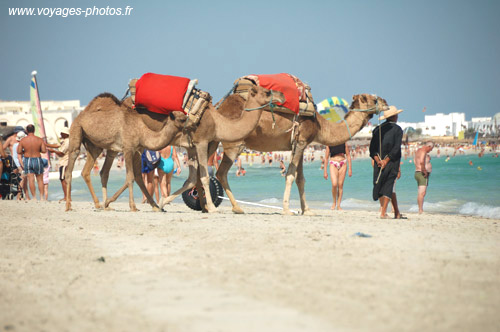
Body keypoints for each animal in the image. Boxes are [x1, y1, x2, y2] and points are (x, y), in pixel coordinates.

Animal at [174, 92, 384, 215]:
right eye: (373, 99)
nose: (385, 102)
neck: (320, 125)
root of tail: (219, 106)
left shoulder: (300, 144)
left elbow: (300, 179)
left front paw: (307, 210)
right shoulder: (301, 142)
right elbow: (290, 175)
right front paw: (287, 209)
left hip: (213, 140)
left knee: (203, 170)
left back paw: (215, 207)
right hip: (234, 144)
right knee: (220, 172)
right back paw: (231, 207)